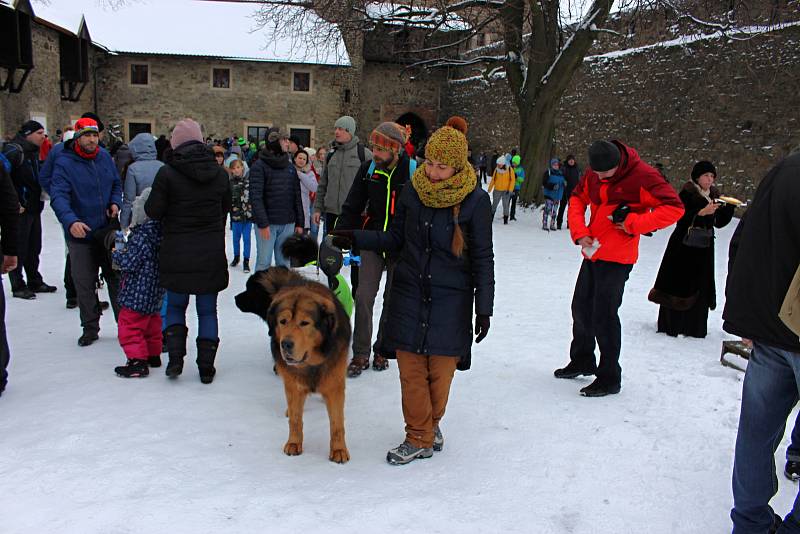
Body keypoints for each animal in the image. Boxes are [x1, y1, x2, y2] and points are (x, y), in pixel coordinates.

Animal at [234, 268, 354, 464]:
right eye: (283, 321)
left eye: (304, 323)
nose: (286, 344)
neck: (311, 362)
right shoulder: (293, 385)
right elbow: (296, 419)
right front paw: (293, 443)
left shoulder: (334, 383)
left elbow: (337, 423)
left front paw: (338, 449)